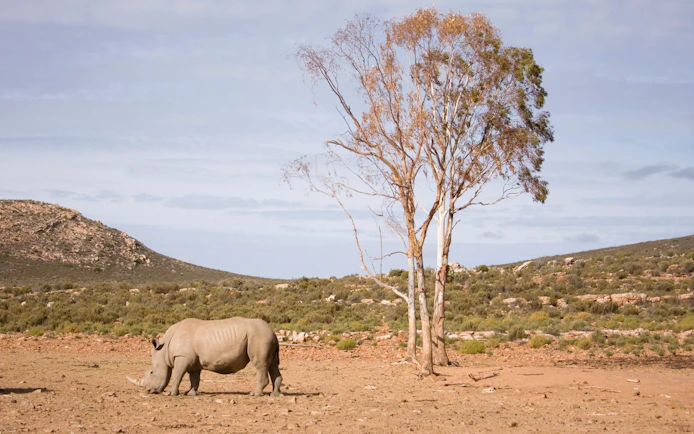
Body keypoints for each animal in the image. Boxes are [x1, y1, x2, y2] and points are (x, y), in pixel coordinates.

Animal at [126, 317, 282, 396]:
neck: (164, 350)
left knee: (260, 365)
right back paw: (275, 395)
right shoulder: (193, 361)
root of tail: (272, 330)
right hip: (265, 336)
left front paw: (171, 393)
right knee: (273, 364)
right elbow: (194, 377)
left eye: (151, 372)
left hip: (259, 336)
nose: (147, 390)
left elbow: (177, 375)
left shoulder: (182, 357)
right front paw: (191, 393)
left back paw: (254, 394)